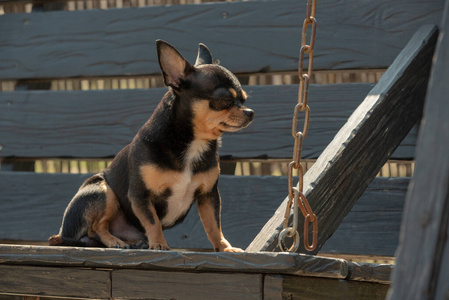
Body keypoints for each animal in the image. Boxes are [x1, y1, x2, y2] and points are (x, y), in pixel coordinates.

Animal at [49, 39, 254, 251]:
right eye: (224, 100)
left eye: (244, 99)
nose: (250, 112)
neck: (192, 142)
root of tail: (63, 233)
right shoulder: (140, 195)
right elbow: (152, 221)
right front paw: (159, 244)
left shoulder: (208, 195)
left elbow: (213, 225)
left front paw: (224, 247)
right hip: (102, 190)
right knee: (96, 227)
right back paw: (115, 242)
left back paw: (134, 242)